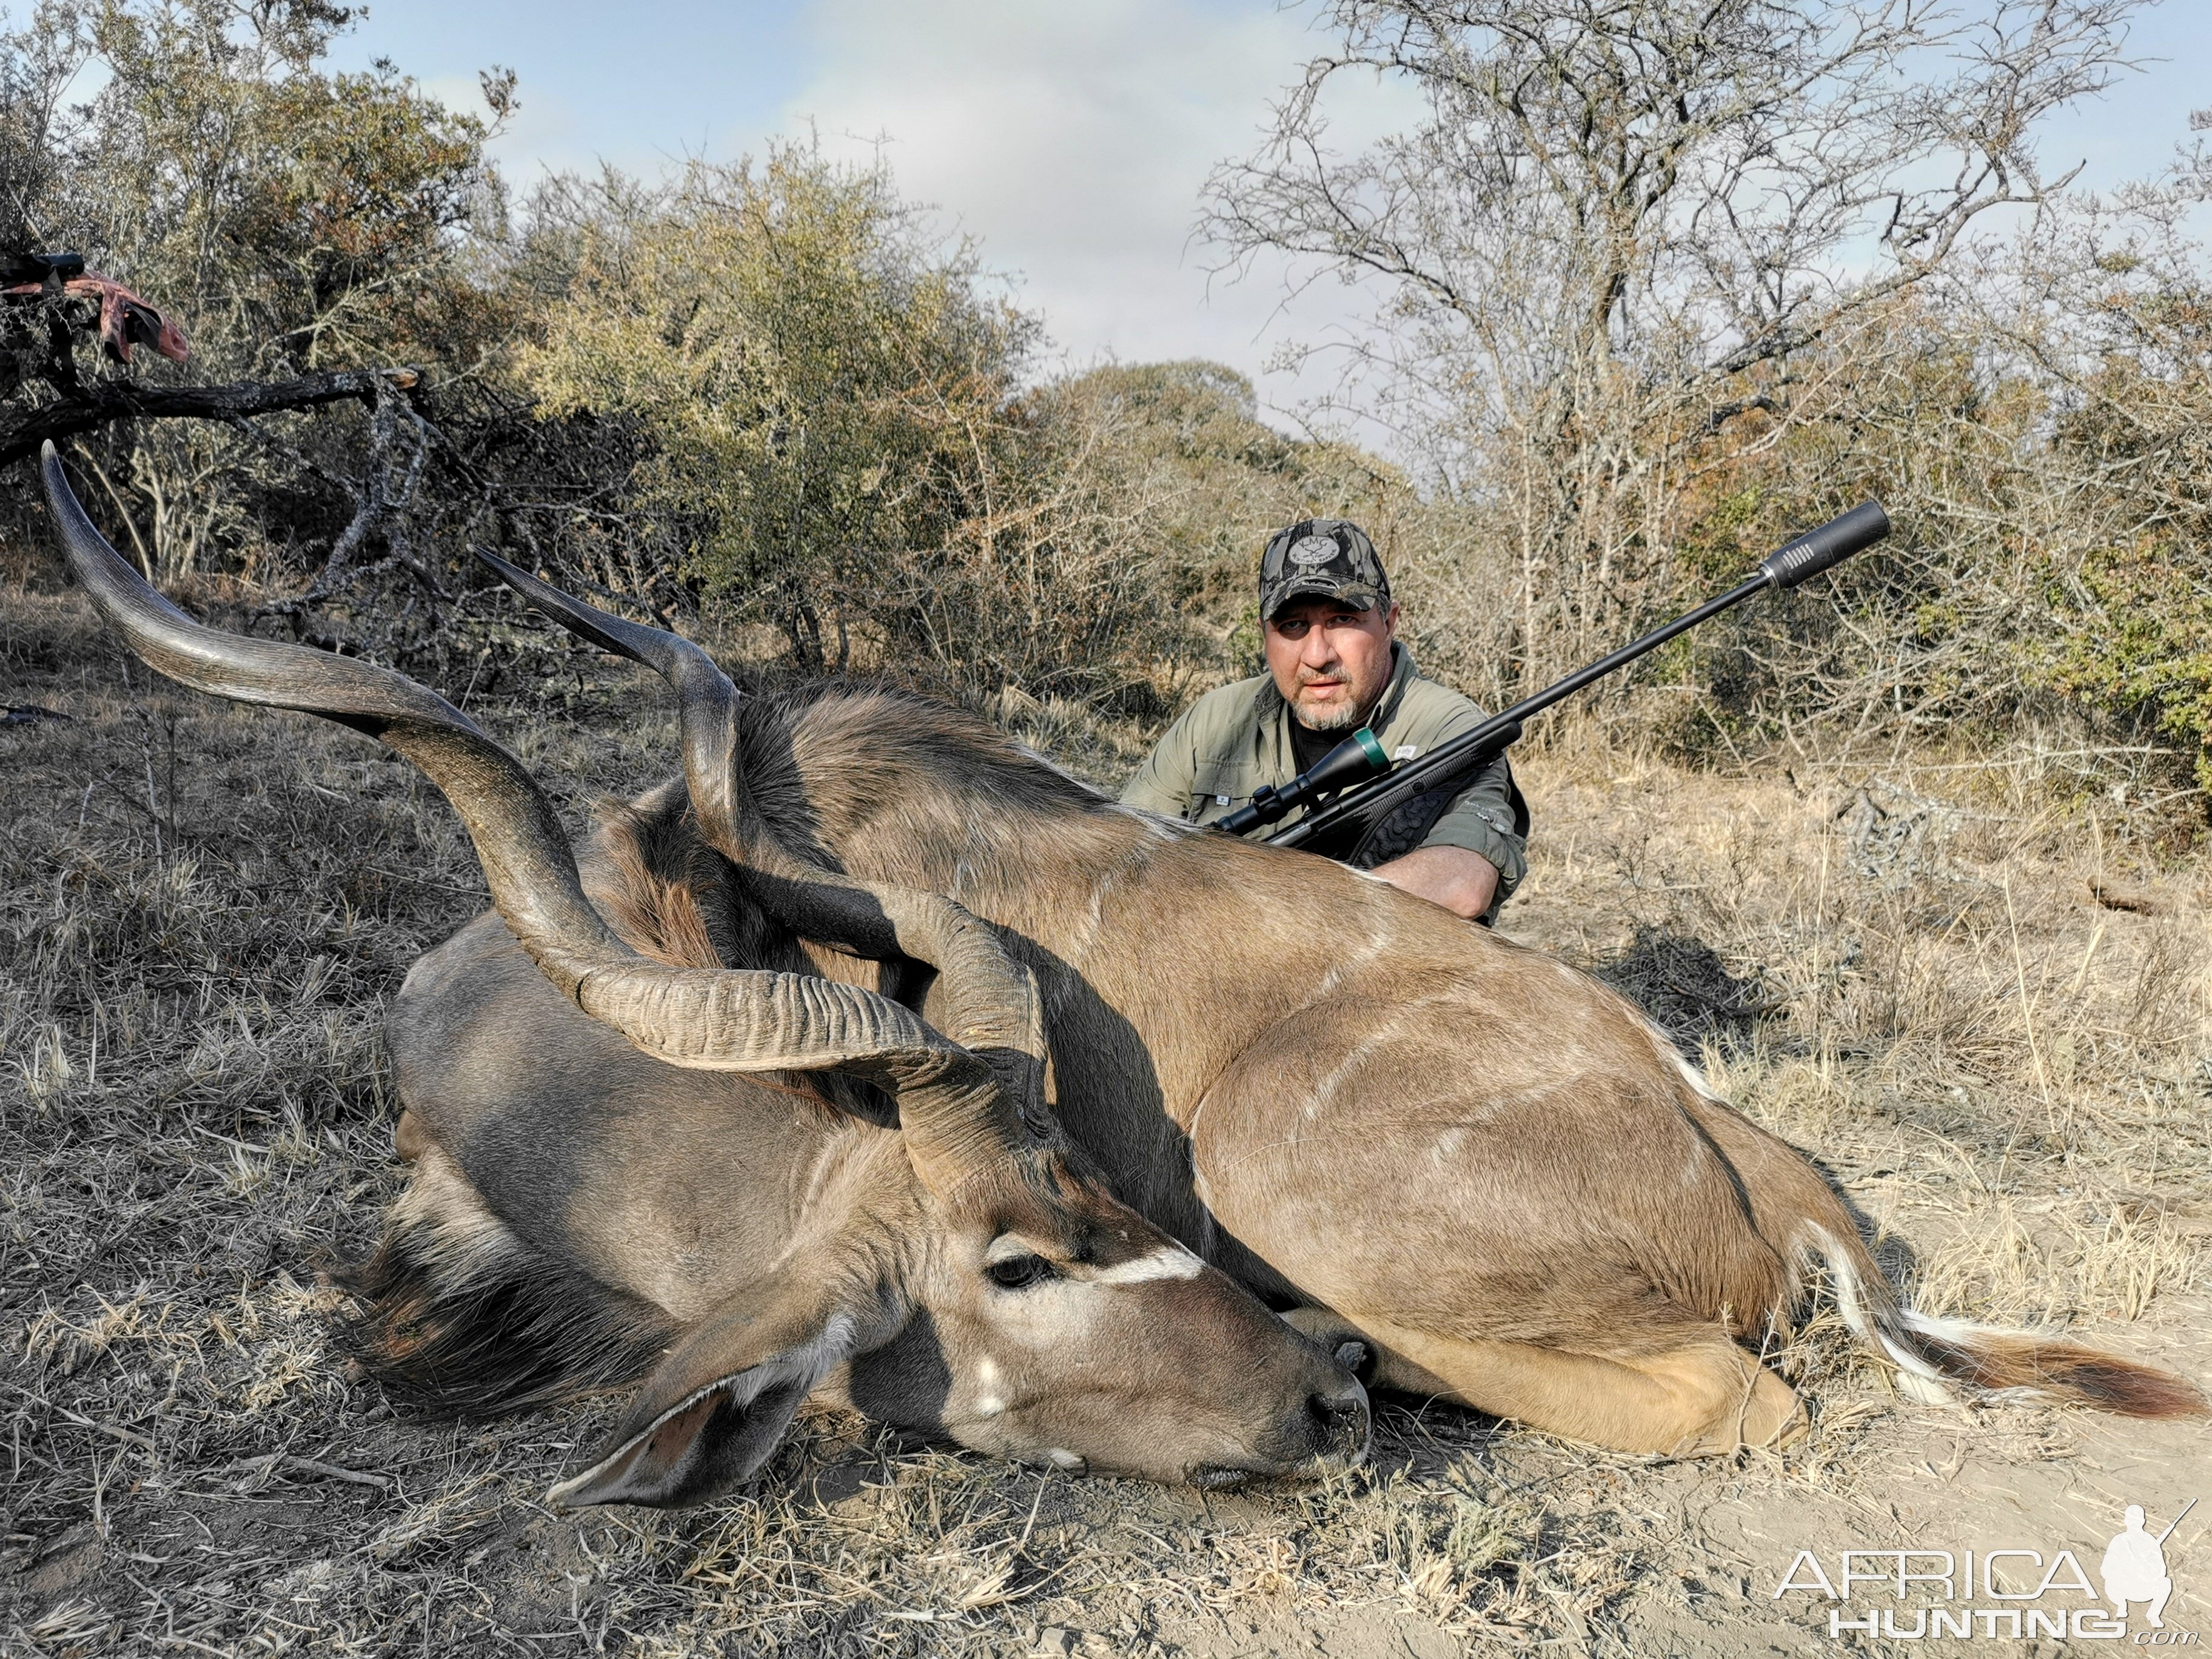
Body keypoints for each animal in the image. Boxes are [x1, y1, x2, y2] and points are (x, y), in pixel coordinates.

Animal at [43, 444, 2203, 1504]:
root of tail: (1750, 1167)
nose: (1306, 1397)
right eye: (1021, 1248)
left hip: (1291, 1174)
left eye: (1069, 1204)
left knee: (1727, 1403)